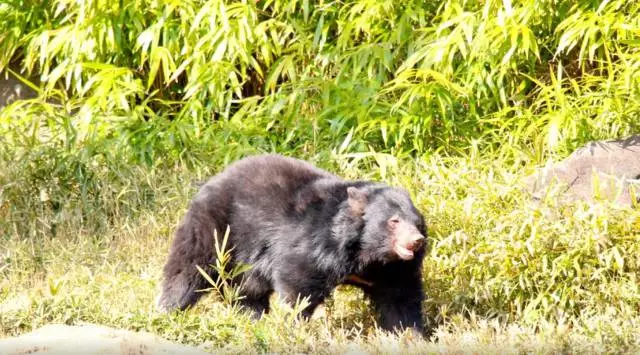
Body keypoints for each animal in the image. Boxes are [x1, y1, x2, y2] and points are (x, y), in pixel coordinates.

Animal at [157, 154, 428, 336]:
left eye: (417, 222)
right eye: (394, 221)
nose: (416, 241)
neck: (367, 255)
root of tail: (214, 178)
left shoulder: (391, 271)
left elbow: (400, 298)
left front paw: (411, 335)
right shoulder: (314, 246)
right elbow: (298, 284)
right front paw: (295, 325)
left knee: (246, 291)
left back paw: (252, 318)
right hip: (217, 230)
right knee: (187, 269)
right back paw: (167, 312)